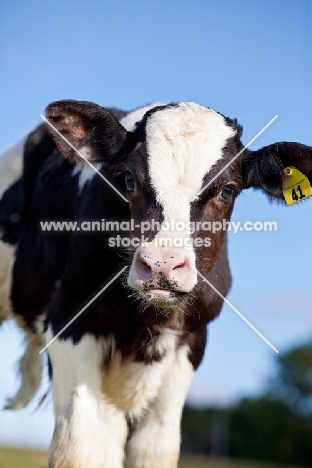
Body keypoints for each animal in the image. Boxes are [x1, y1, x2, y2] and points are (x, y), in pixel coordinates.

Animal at [0, 99, 312, 468]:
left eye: (228, 189)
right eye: (128, 179)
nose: (161, 263)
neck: (143, 318)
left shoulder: (192, 341)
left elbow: (155, 448)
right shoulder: (68, 318)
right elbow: (78, 448)